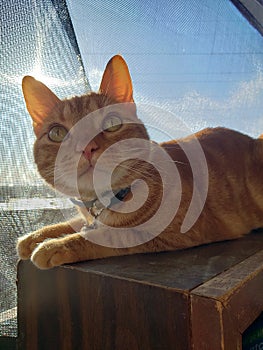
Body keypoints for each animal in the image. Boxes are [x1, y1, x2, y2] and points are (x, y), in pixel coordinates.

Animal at [17, 54, 263, 270]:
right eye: (57, 133)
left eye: (112, 123)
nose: (87, 147)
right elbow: (74, 223)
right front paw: (35, 236)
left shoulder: (171, 232)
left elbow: (108, 235)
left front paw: (54, 245)